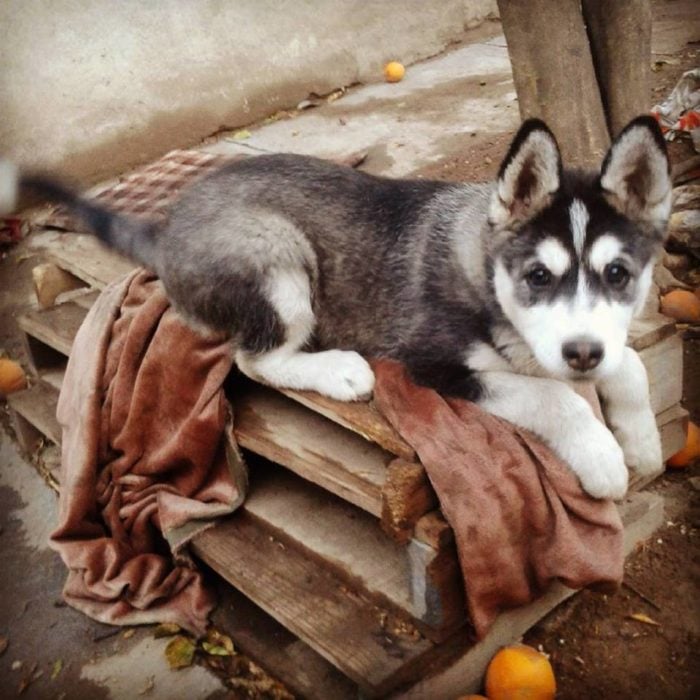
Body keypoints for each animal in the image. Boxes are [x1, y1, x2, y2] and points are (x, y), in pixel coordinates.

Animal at [2, 116, 676, 498]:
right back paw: (338, 369)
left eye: (618, 275)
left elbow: (629, 364)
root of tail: (171, 226)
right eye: (538, 276)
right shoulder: (434, 364)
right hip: (279, 258)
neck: (486, 271)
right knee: (254, 360)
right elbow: (556, 396)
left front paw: (641, 441)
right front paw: (603, 457)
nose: (582, 353)